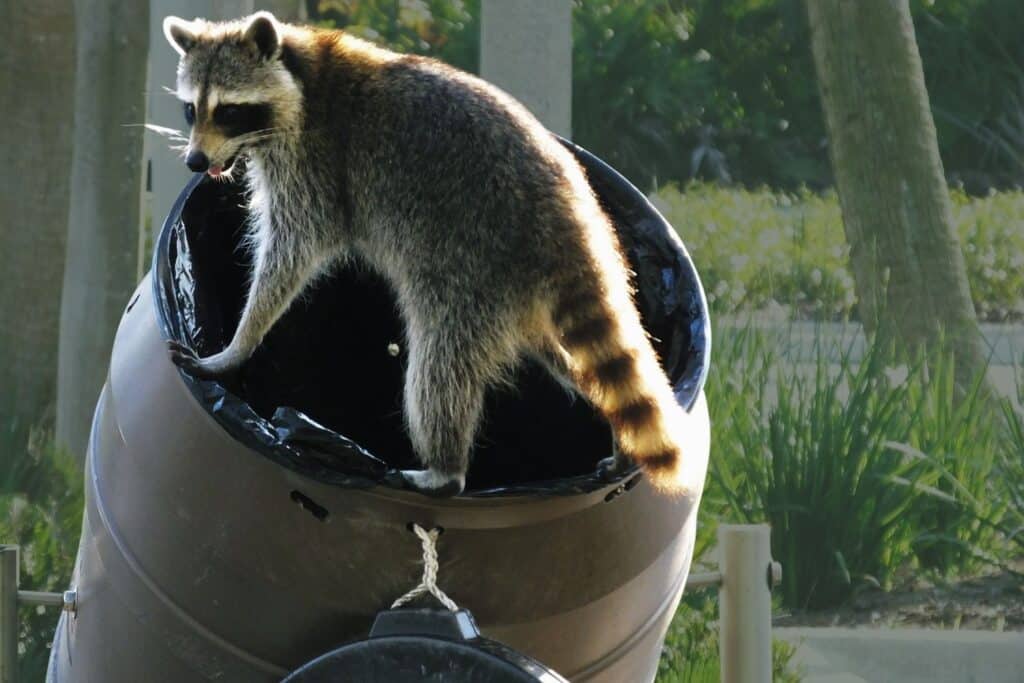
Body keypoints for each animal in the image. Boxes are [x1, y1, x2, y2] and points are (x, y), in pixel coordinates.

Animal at [163, 11, 694, 497]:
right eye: (191, 109)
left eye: (229, 111)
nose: (194, 161)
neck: (302, 73)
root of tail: (568, 219)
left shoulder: (316, 161)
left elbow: (293, 252)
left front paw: (239, 344)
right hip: (519, 294)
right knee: (571, 359)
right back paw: (614, 431)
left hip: (473, 268)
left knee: (440, 362)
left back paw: (445, 469)